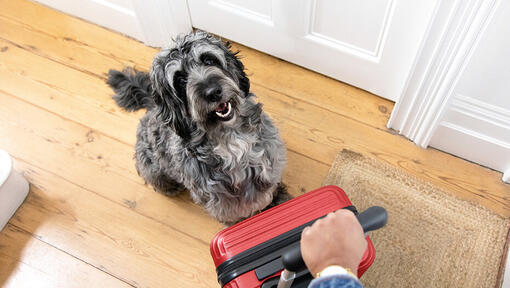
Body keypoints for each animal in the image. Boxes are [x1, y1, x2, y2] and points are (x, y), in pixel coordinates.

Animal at [106, 31, 290, 225]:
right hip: (153, 169)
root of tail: (151, 106)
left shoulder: (271, 170)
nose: (213, 92)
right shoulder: (225, 204)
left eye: (209, 60)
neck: (229, 137)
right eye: (179, 79)